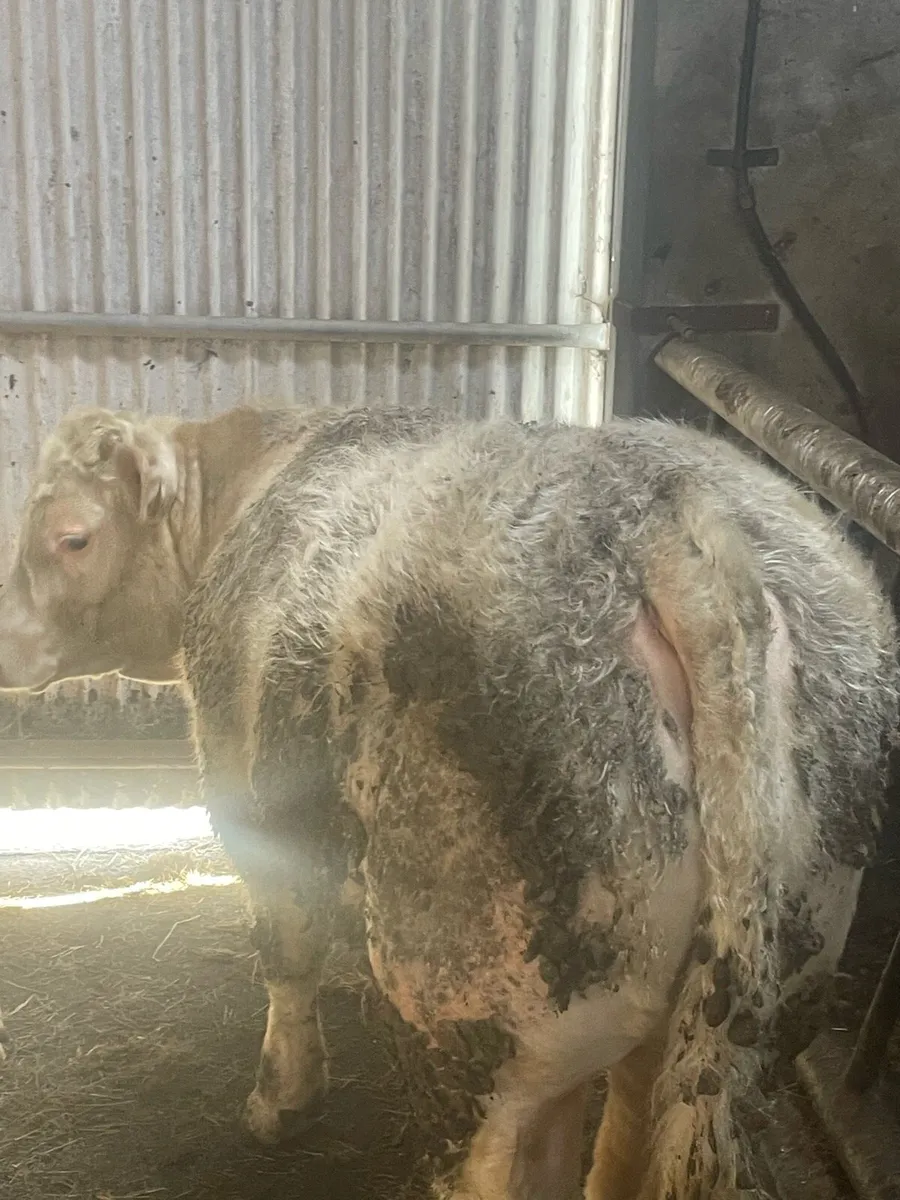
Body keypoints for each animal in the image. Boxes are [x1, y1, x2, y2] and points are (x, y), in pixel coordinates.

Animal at [0, 402, 896, 1200]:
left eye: (72, 537)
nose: (5, 646)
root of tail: (680, 528)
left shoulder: (249, 800)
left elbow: (286, 954)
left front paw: (281, 1102)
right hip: (762, 981)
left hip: (478, 998)